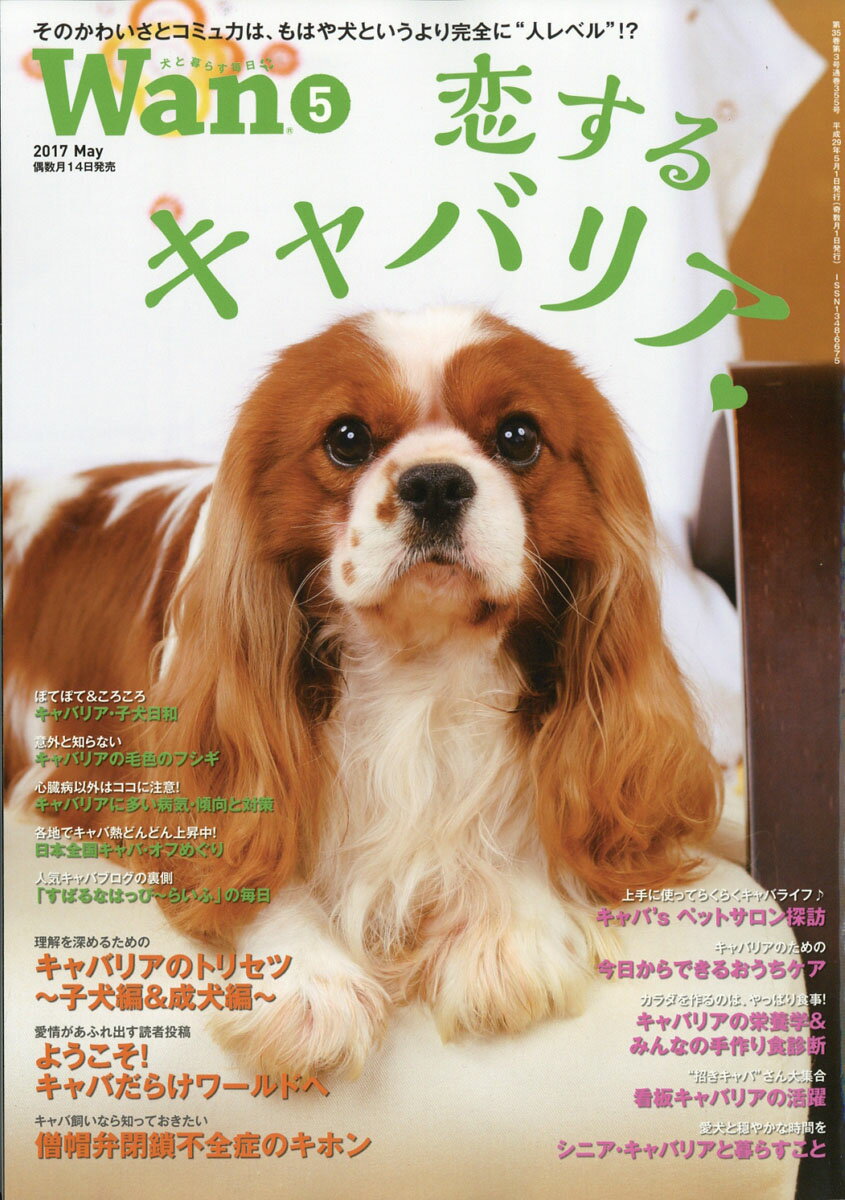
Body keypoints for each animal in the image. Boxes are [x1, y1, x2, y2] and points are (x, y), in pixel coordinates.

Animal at [4, 307, 721, 1076]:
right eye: (346, 439)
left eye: (518, 437)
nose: (435, 482)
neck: (418, 664)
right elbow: (249, 854)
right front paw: (308, 981)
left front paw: (505, 926)